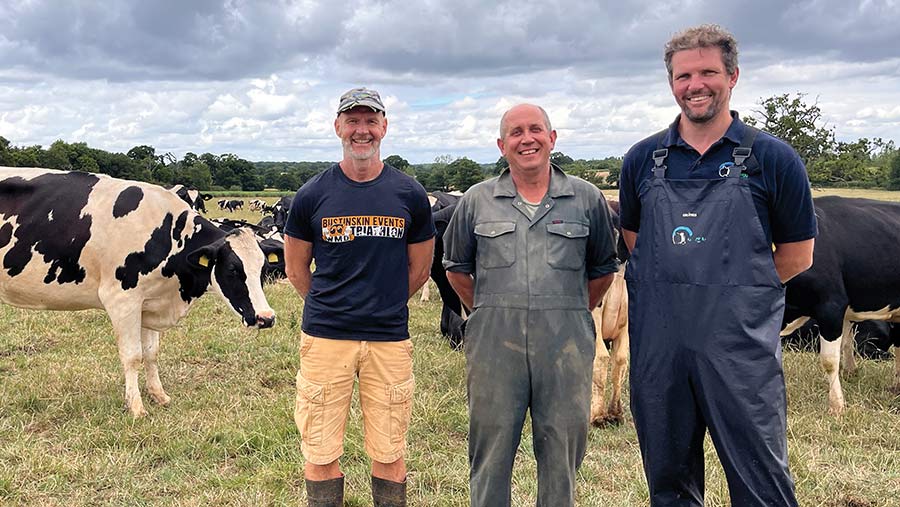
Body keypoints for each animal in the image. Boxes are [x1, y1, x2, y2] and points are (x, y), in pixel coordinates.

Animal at [0, 169, 278, 418]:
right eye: (232, 269)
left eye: (264, 268)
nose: (266, 318)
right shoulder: (122, 300)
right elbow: (133, 356)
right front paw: (136, 407)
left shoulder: (150, 301)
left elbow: (151, 353)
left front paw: (159, 395)